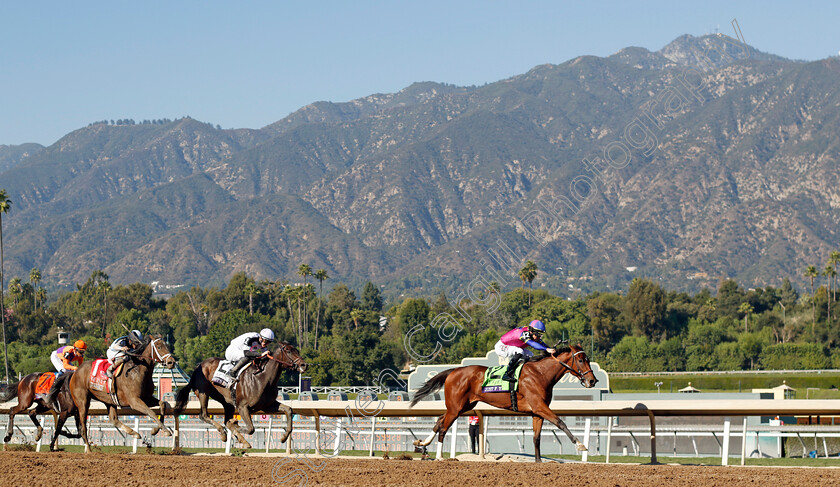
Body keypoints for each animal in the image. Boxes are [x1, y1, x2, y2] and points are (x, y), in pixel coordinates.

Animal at [175, 340, 308, 450]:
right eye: (288, 351)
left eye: (297, 350)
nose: (304, 365)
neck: (262, 378)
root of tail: (198, 366)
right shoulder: (242, 407)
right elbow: (250, 428)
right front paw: (235, 425)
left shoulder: (267, 406)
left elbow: (289, 410)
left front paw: (284, 437)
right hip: (203, 393)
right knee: (204, 415)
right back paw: (223, 433)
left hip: (226, 401)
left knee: (225, 419)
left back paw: (242, 440)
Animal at [412, 346, 596, 464]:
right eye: (581, 360)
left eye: (588, 359)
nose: (593, 380)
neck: (541, 374)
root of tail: (454, 371)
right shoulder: (540, 407)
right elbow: (560, 422)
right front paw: (580, 445)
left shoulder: (537, 412)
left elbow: (536, 437)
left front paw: (538, 461)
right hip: (456, 407)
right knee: (443, 427)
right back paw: (439, 457)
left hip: (463, 406)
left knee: (439, 421)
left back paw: (422, 443)